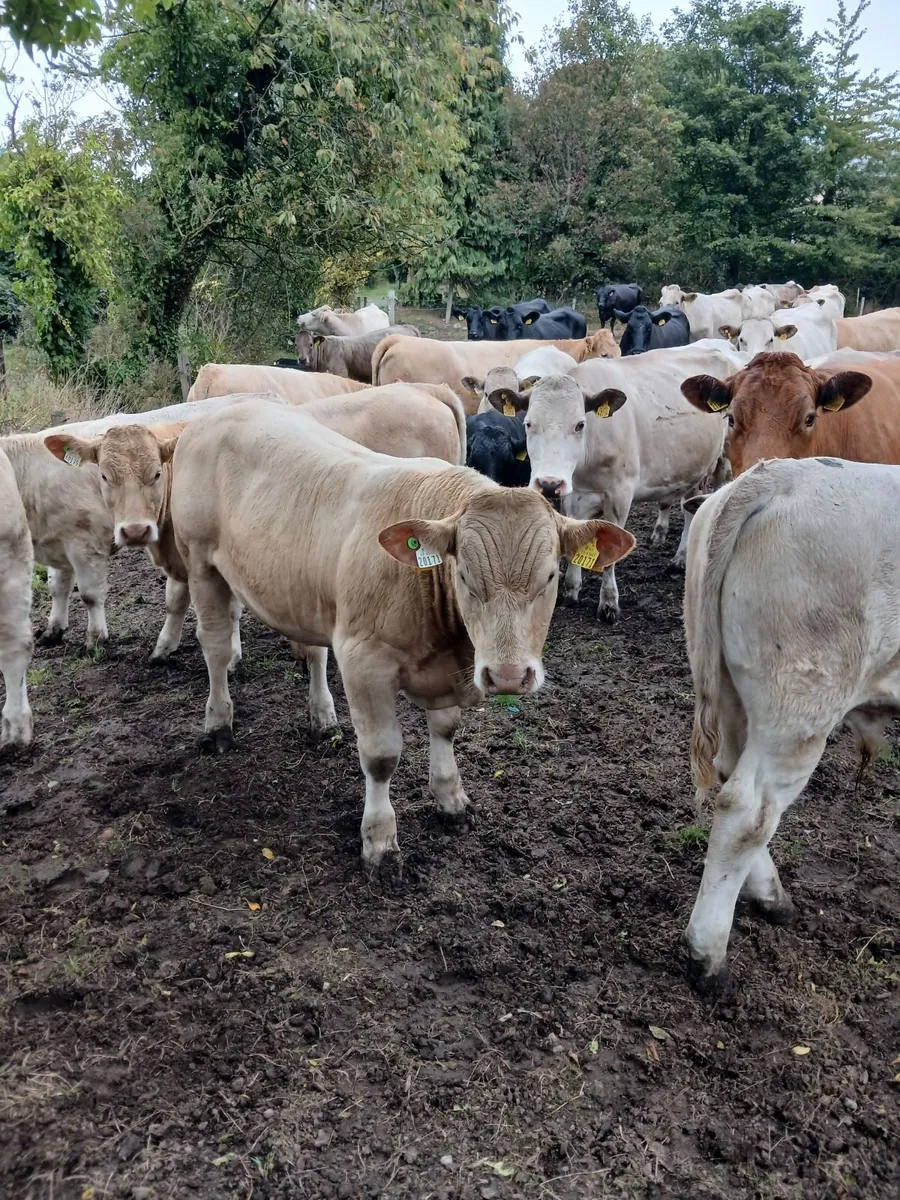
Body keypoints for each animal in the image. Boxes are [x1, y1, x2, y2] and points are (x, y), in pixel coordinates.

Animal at [46, 383, 469, 668]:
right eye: (104, 476)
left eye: (155, 474)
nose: (135, 531)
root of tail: (426, 388)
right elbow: (177, 599)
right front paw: (165, 648)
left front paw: (226, 654)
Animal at [168, 399, 633, 864]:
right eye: (463, 575)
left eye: (550, 576)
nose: (507, 676)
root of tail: (224, 410)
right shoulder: (363, 662)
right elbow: (381, 757)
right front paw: (379, 840)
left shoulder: (448, 670)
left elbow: (445, 729)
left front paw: (451, 801)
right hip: (200, 562)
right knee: (216, 647)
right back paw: (219, 725)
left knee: (314, 653)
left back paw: (322, 719)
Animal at [493, 342, 742, 621]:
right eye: (528, 423)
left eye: (580, 424)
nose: (549, 484)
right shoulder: (571, 497)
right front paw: (571, 590)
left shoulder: (620, 495)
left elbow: (611, 554)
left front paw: (609, 602)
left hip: (723, 460)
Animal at [683, 456, 900, 993]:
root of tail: (779, 474)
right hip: (799, 710)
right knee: (747, 810)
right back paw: (708, 957)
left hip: (733, 691)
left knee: (732, 782)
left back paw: (771, 897)